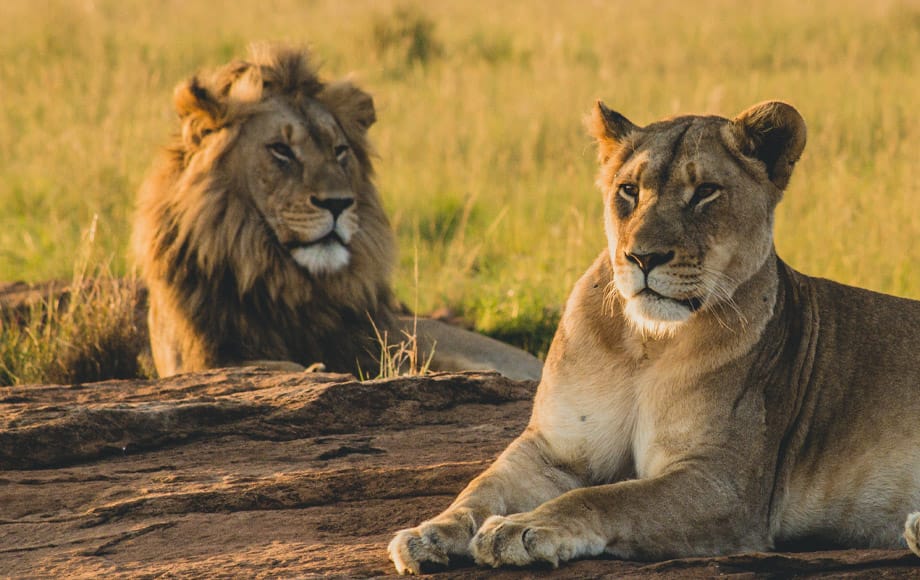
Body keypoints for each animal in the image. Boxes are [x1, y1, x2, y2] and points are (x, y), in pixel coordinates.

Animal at [388, 98, 920, 572]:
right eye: (629, 190)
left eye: (705, 191)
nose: (643, 257)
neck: (646, 345)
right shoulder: (553, 449)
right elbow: (482, 487)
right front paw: (429, 533)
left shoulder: (723, 483)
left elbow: (609, 498)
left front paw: (519, 529)